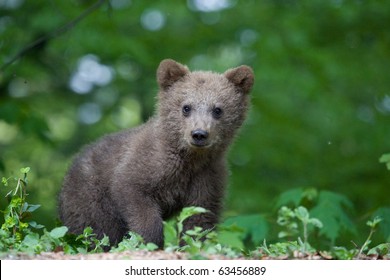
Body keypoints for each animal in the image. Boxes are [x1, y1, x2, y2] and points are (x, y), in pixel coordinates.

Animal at [57, 58, 253, 247]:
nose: (199, 134)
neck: (189, 160)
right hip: (89, 198)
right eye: (186, 107)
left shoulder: (206, 178)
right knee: (98, 230)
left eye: (218, 109)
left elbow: (199, 219)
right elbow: (136, 200)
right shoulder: (144, 167)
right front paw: (149, 240)